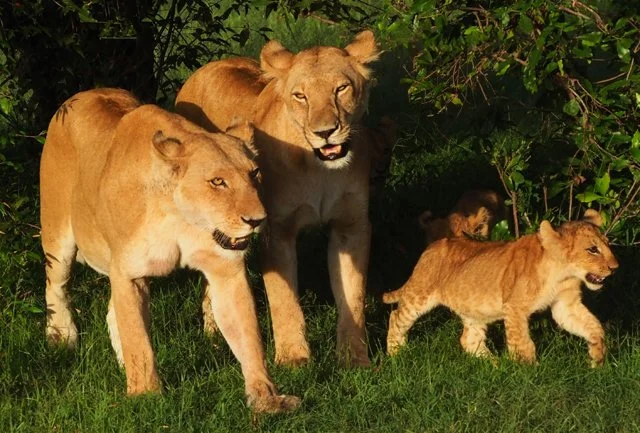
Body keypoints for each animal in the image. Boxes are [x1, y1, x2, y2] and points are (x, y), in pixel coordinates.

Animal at [40, 88, 300, 413]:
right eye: (218, 182)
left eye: (254, 174)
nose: (256, 220)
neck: (181, 216)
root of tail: (83, 94)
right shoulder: (129, 272)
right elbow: (138, 339)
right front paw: (145, 397)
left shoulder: (225, 268)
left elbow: (246, 333)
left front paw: (265, 398)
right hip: (57, 234)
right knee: (56, 286)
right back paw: (61, 338)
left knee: (113, 312)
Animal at [176, 31, 380, 367]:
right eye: (300, 96)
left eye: (341, 88)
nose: (325, 132)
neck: (320, 170)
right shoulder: (277, 231)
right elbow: (283, 300)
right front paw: (293, 358)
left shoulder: (351, 227)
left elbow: (352, 295)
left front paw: (354, 359)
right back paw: (213, 335)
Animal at [384, 210, 618, 366]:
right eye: (592, 249)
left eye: (608, 244)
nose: (615, 267)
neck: (562, 274)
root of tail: (429, 248)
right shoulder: (514, 308)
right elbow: (522, 343)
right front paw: (529, 373)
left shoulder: (565, 305)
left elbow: (593, 327)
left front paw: (597, 358)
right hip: (419, 294)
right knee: (396, 317)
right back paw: (396, 354)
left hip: (474, 309)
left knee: (468, 339)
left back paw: (494, 366)